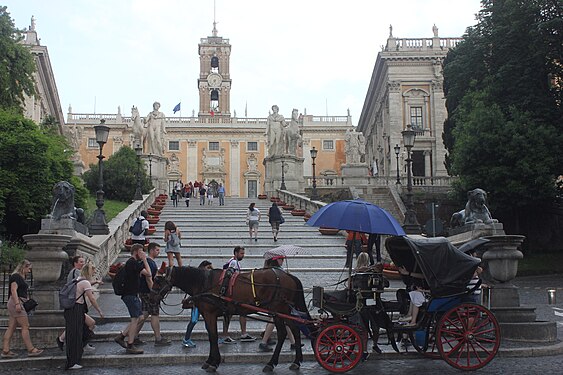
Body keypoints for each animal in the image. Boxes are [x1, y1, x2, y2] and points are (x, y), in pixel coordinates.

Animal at [152, 268, 310, 374]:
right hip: (285, 311)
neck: (204, 282)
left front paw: (214, 363)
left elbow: (213, 336)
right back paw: (296, 361)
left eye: (157, 282)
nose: (150, 298)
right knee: (295, 329)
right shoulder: (208, 315)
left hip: (278, 310)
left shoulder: (210, 314)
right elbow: (211, 336)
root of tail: (289, 275)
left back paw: (271, 363)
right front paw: (209, 361)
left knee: (283, 332)